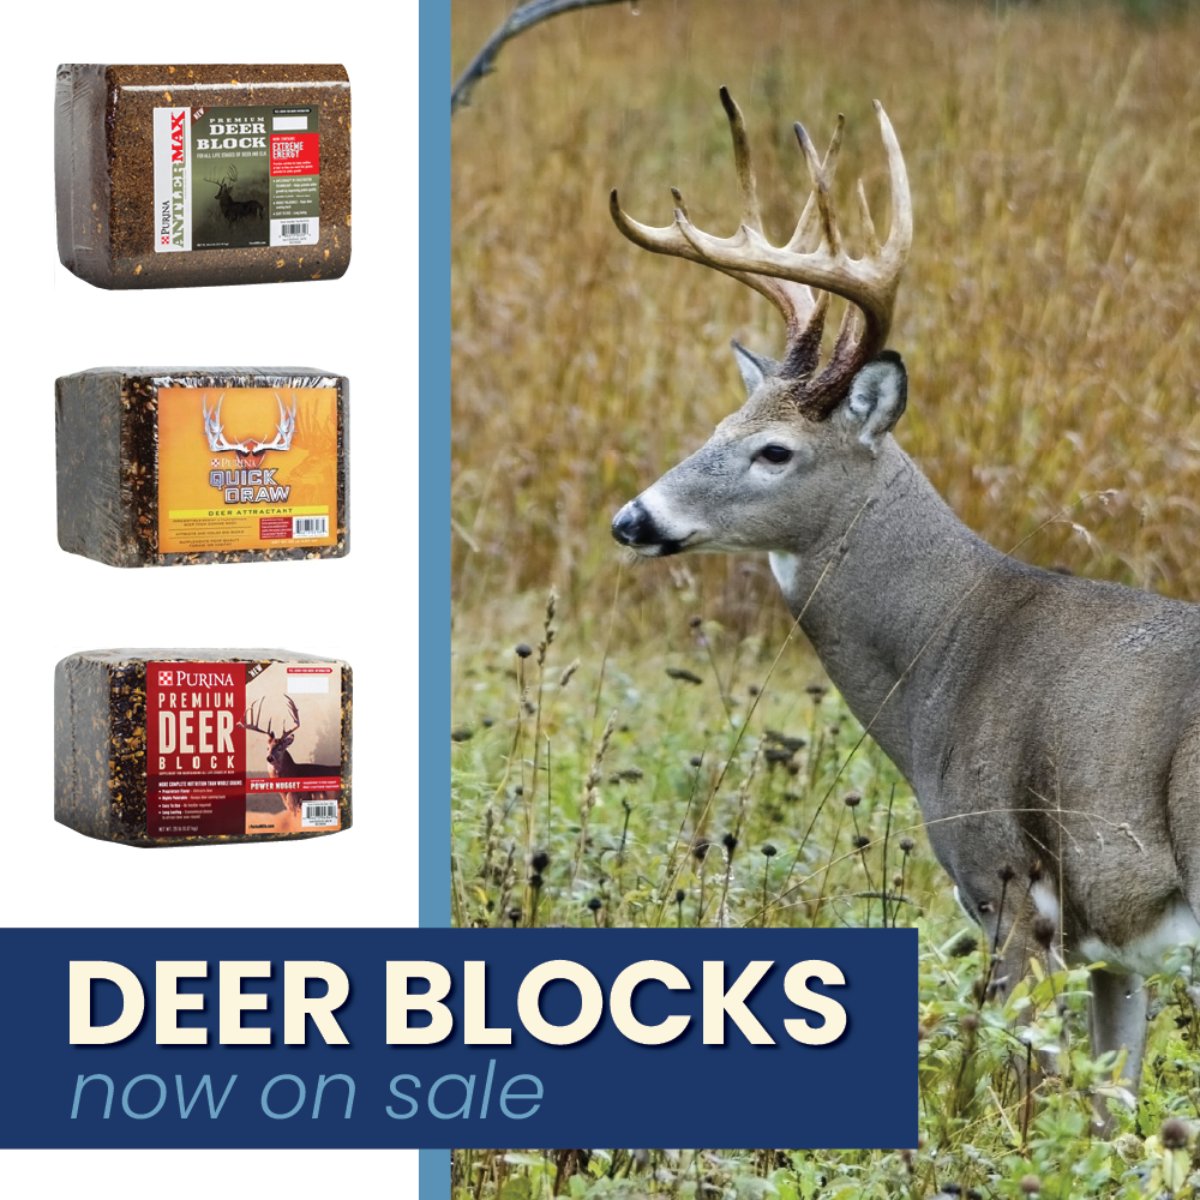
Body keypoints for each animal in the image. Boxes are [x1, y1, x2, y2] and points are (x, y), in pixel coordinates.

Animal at [609, 88, 1200, 1118]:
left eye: (775, 451)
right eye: (722, 424)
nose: (633, 519)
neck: (947, 656)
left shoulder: (1009, 885)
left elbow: (1031, 1097)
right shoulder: (1114, 945)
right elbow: (1111, 1113)